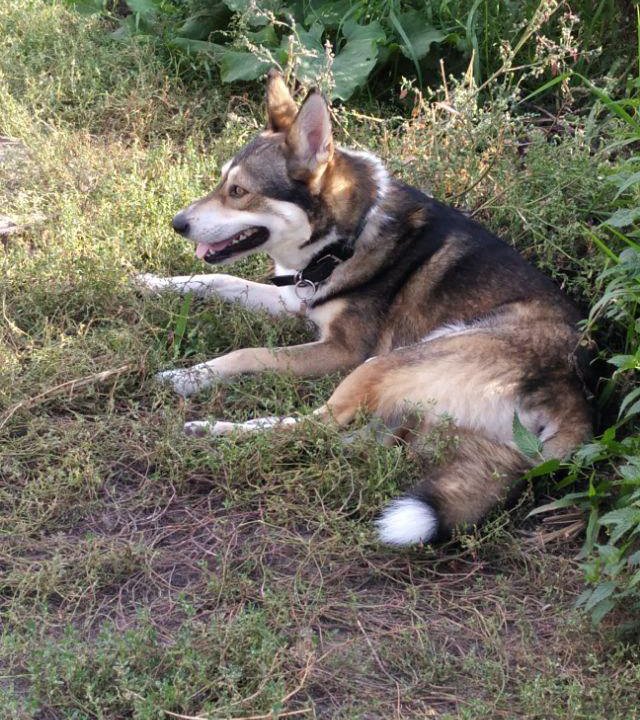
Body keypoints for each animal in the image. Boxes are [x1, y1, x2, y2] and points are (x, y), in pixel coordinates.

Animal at [138, 70, 592, 544]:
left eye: (239, 191)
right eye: (221, 182)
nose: (177, 224)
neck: (345, 236)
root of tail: (575, 403)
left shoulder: (343, 350)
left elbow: (251, 352)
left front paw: (189, 376)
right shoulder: (292, 297)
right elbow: (218, 280)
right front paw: (154, 283)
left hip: (386, 363)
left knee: (316, 424)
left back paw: (213, 429)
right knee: (350, 439)